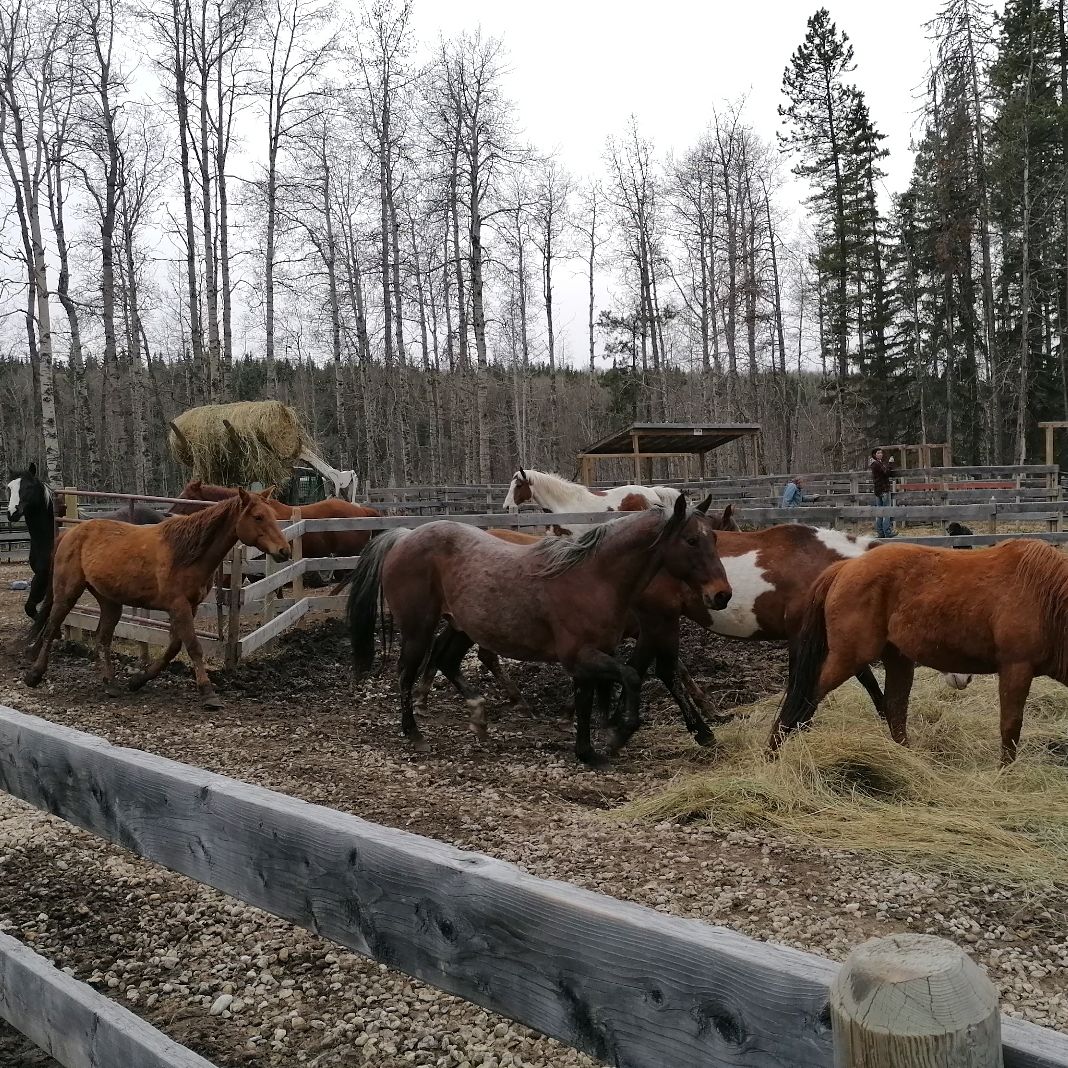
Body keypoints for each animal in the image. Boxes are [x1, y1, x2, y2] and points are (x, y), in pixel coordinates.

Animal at [6, 464, 54, 622]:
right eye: (9, 487)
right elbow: (31, 608)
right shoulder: (41, 575)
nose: (12, 513)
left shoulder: (43, 576)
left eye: (28, 486)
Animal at [24, 489, 290, 709]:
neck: (185, 553)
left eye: (272, 515)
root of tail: (70, 532)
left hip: (110, 602)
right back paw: (34, 675)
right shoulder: (179, 606)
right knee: (51, 628)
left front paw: (138, 680)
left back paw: (110, 683)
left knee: (102, 638)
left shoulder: (187, 608)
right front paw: (208, 693)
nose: (284, 551)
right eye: (258, 517)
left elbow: (173, 648)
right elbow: (194, 647)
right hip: (67, 593)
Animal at [346, 497, 732, 767]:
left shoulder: (595, 655)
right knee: (406, 672)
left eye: (714, 537)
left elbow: (590, 698)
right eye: (691, 540)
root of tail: (404, 536)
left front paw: (589, 750)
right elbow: (632, 678)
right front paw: (618, 735)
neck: (594, 577)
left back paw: (478, 717)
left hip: (461, 626)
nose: (722, 594)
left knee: (446, 659)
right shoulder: (581, 655)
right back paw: (415, 733)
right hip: (418, 629)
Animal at [770, 539, 1068, 765]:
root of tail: (846, 567)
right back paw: (773, 752)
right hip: (847, 658)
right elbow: (1010, 726)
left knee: (895, 707)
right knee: (806, 695)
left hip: (897, 658)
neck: (1045, 597)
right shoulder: (1016, 668)